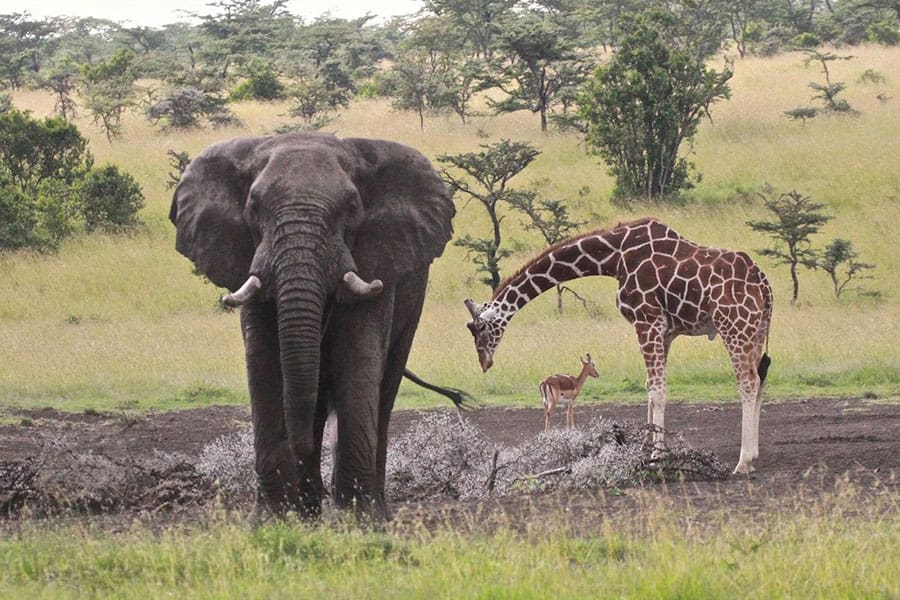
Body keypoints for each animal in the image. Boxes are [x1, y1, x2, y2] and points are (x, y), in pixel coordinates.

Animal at [171, 131, 458, 520]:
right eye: (253, 207)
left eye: (351, 207)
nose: (300, 447)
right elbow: (263, 363)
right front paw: (273, 520)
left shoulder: (375, 256)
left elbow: (358, 358)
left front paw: (359, 521)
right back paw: (309, 508)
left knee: (383, 387)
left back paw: (370, 510)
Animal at [464, 216, 772, 474]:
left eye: (479, 328)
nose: (484, 362)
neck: (614, 258)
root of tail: (764, 284)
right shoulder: (665, 331)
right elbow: (650, 389)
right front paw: (647, 448)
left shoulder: (647, 320)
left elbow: (658, 390)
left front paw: (656, 457)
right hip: (756, 330)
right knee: (760, 380)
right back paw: (755, 455)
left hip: (733, 325)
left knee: (747, 382)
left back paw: (743, 462)